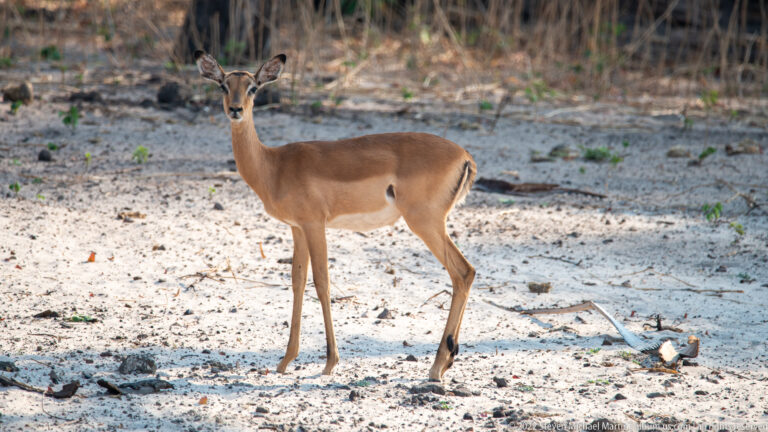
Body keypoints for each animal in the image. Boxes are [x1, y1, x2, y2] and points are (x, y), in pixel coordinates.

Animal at [195, 50, 476, 381]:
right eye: (223, 86)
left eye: (253, 88)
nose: (235, 110)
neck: (273, 166)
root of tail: (465, 156)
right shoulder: (297, 228)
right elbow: (298, 280)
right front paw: (286, 360)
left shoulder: (315, 225)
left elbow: (322, 282)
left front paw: (330, 362)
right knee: (465, 274)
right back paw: (445, 362)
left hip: (426, 223)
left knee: (463, 271)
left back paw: (436, 367)